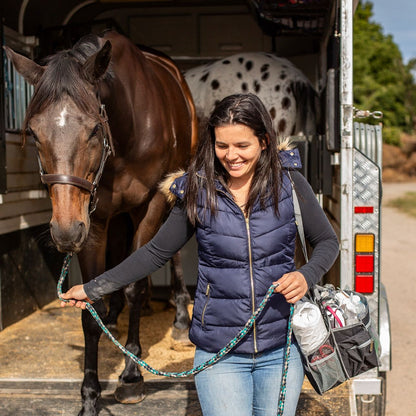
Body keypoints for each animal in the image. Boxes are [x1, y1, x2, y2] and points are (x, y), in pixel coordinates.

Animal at [4, 32, 197, 416]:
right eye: (33, 132)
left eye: (94, 128)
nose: (64, 232)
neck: (129, 127)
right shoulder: (92, 219)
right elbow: (91, 308)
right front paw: (90, 396)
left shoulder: (150, 204)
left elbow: (136, 285)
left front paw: (131, 376)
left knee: (172, 255)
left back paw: (181, 319)